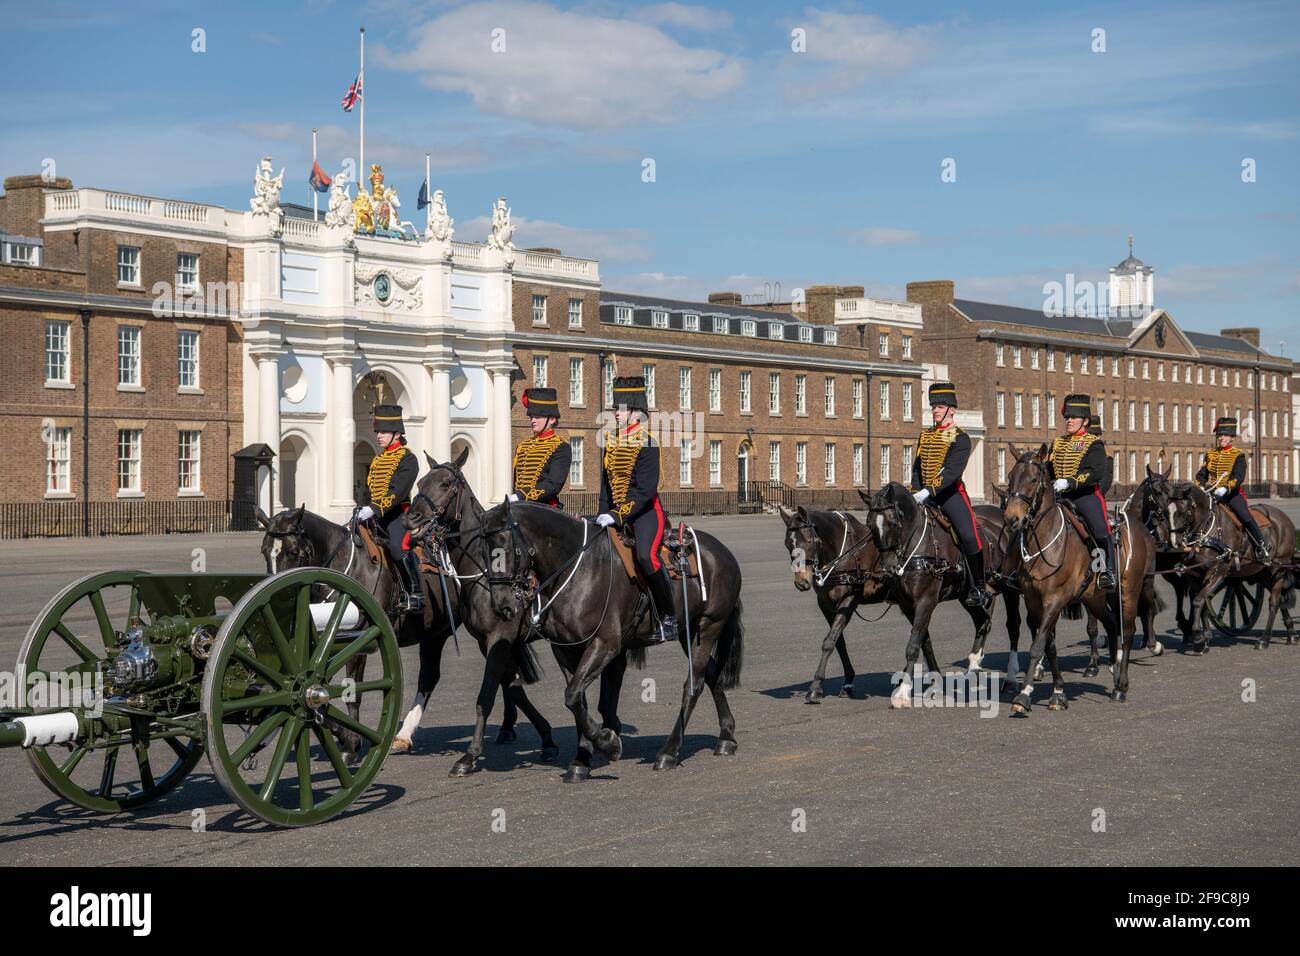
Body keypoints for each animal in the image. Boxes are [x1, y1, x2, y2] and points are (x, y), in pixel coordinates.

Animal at [993, 447, 1159, 712]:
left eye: (1033, 479)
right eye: (1009, 476)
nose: (1012, 519)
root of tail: (1141, 529)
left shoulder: (1056, 598)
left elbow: (1037, 645)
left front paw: (1024, 694)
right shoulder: (1033, 600)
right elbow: (1047, 643)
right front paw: (1058, 691)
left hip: (1129, 590)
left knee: (1128, 629)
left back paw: (1121, 686)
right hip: (1094, 597)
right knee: (1112, 623)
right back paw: (1113, 675)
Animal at [1164, 481, 1294, 655]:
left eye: (1183, 511)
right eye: (1166, 512)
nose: (1174, 543)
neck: (1206, 530)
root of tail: (1283, 517)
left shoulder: (1219, 570)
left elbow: (1198, 600)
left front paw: (1198, 639)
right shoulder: (1195, 574)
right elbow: (1202, 601)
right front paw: (1204, 639)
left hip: (1278, 568)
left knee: (1273, 601)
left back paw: (1264, 639)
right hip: (1261, 572)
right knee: (1279, 599)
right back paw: (1291, 633)